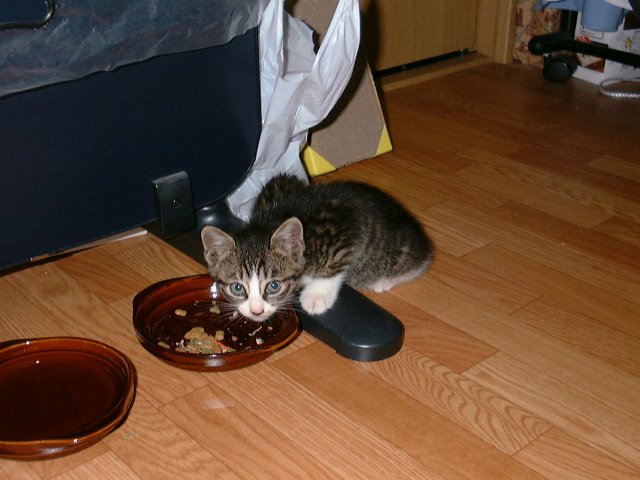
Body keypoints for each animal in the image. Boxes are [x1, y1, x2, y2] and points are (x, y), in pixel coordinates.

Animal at [201, 174, 433, 322]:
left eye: (274, 286)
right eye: (237, 288)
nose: (256, 311)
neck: (270, 221)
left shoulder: (340, 223)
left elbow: (333, 264)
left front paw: (316, 296)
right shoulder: (278, 185)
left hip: (397, 251)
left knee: (413, 265)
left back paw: (384, 280)